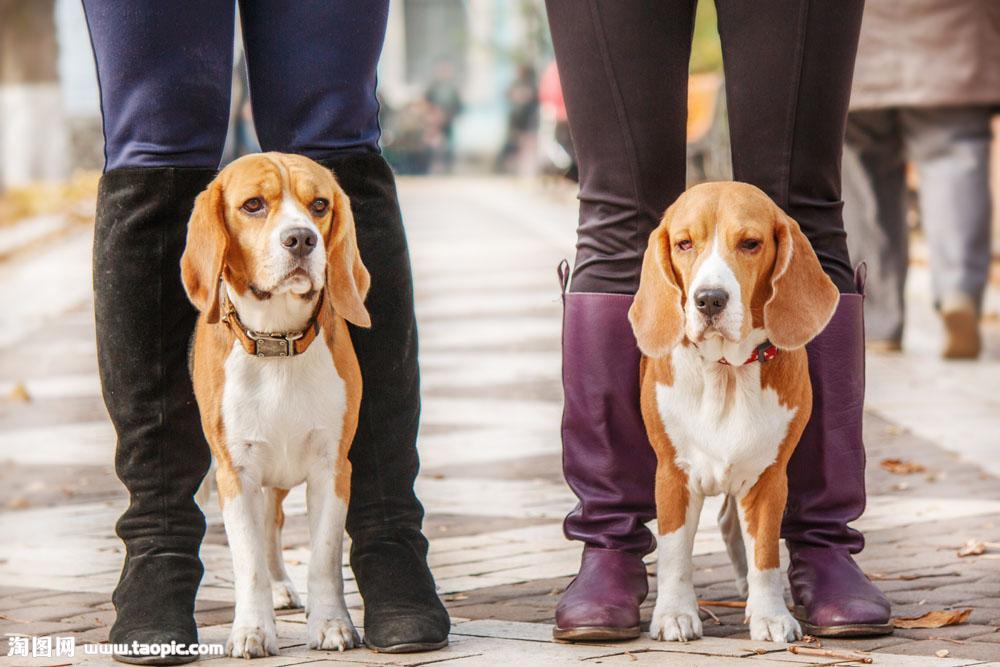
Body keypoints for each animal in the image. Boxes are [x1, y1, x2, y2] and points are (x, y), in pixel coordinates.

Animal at [181, 151, 372, 656]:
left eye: (319, 205)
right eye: (253, 205)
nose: (301, 238)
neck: (277, 341)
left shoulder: (332, 468)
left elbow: (323, 557)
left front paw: (331, 624)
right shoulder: (236, 473)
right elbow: (247, 562)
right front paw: (251, 629)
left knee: (274, 524)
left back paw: (284, 587)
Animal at [628, 185, 840, 644]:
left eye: (750, 243)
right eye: (684, 243)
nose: (709, 299)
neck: (725, 371)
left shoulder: (769, 480)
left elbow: (765, 554)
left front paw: (770, 615)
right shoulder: (673, 475)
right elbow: (675, 554)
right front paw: (674, 614)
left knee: (731, 522)